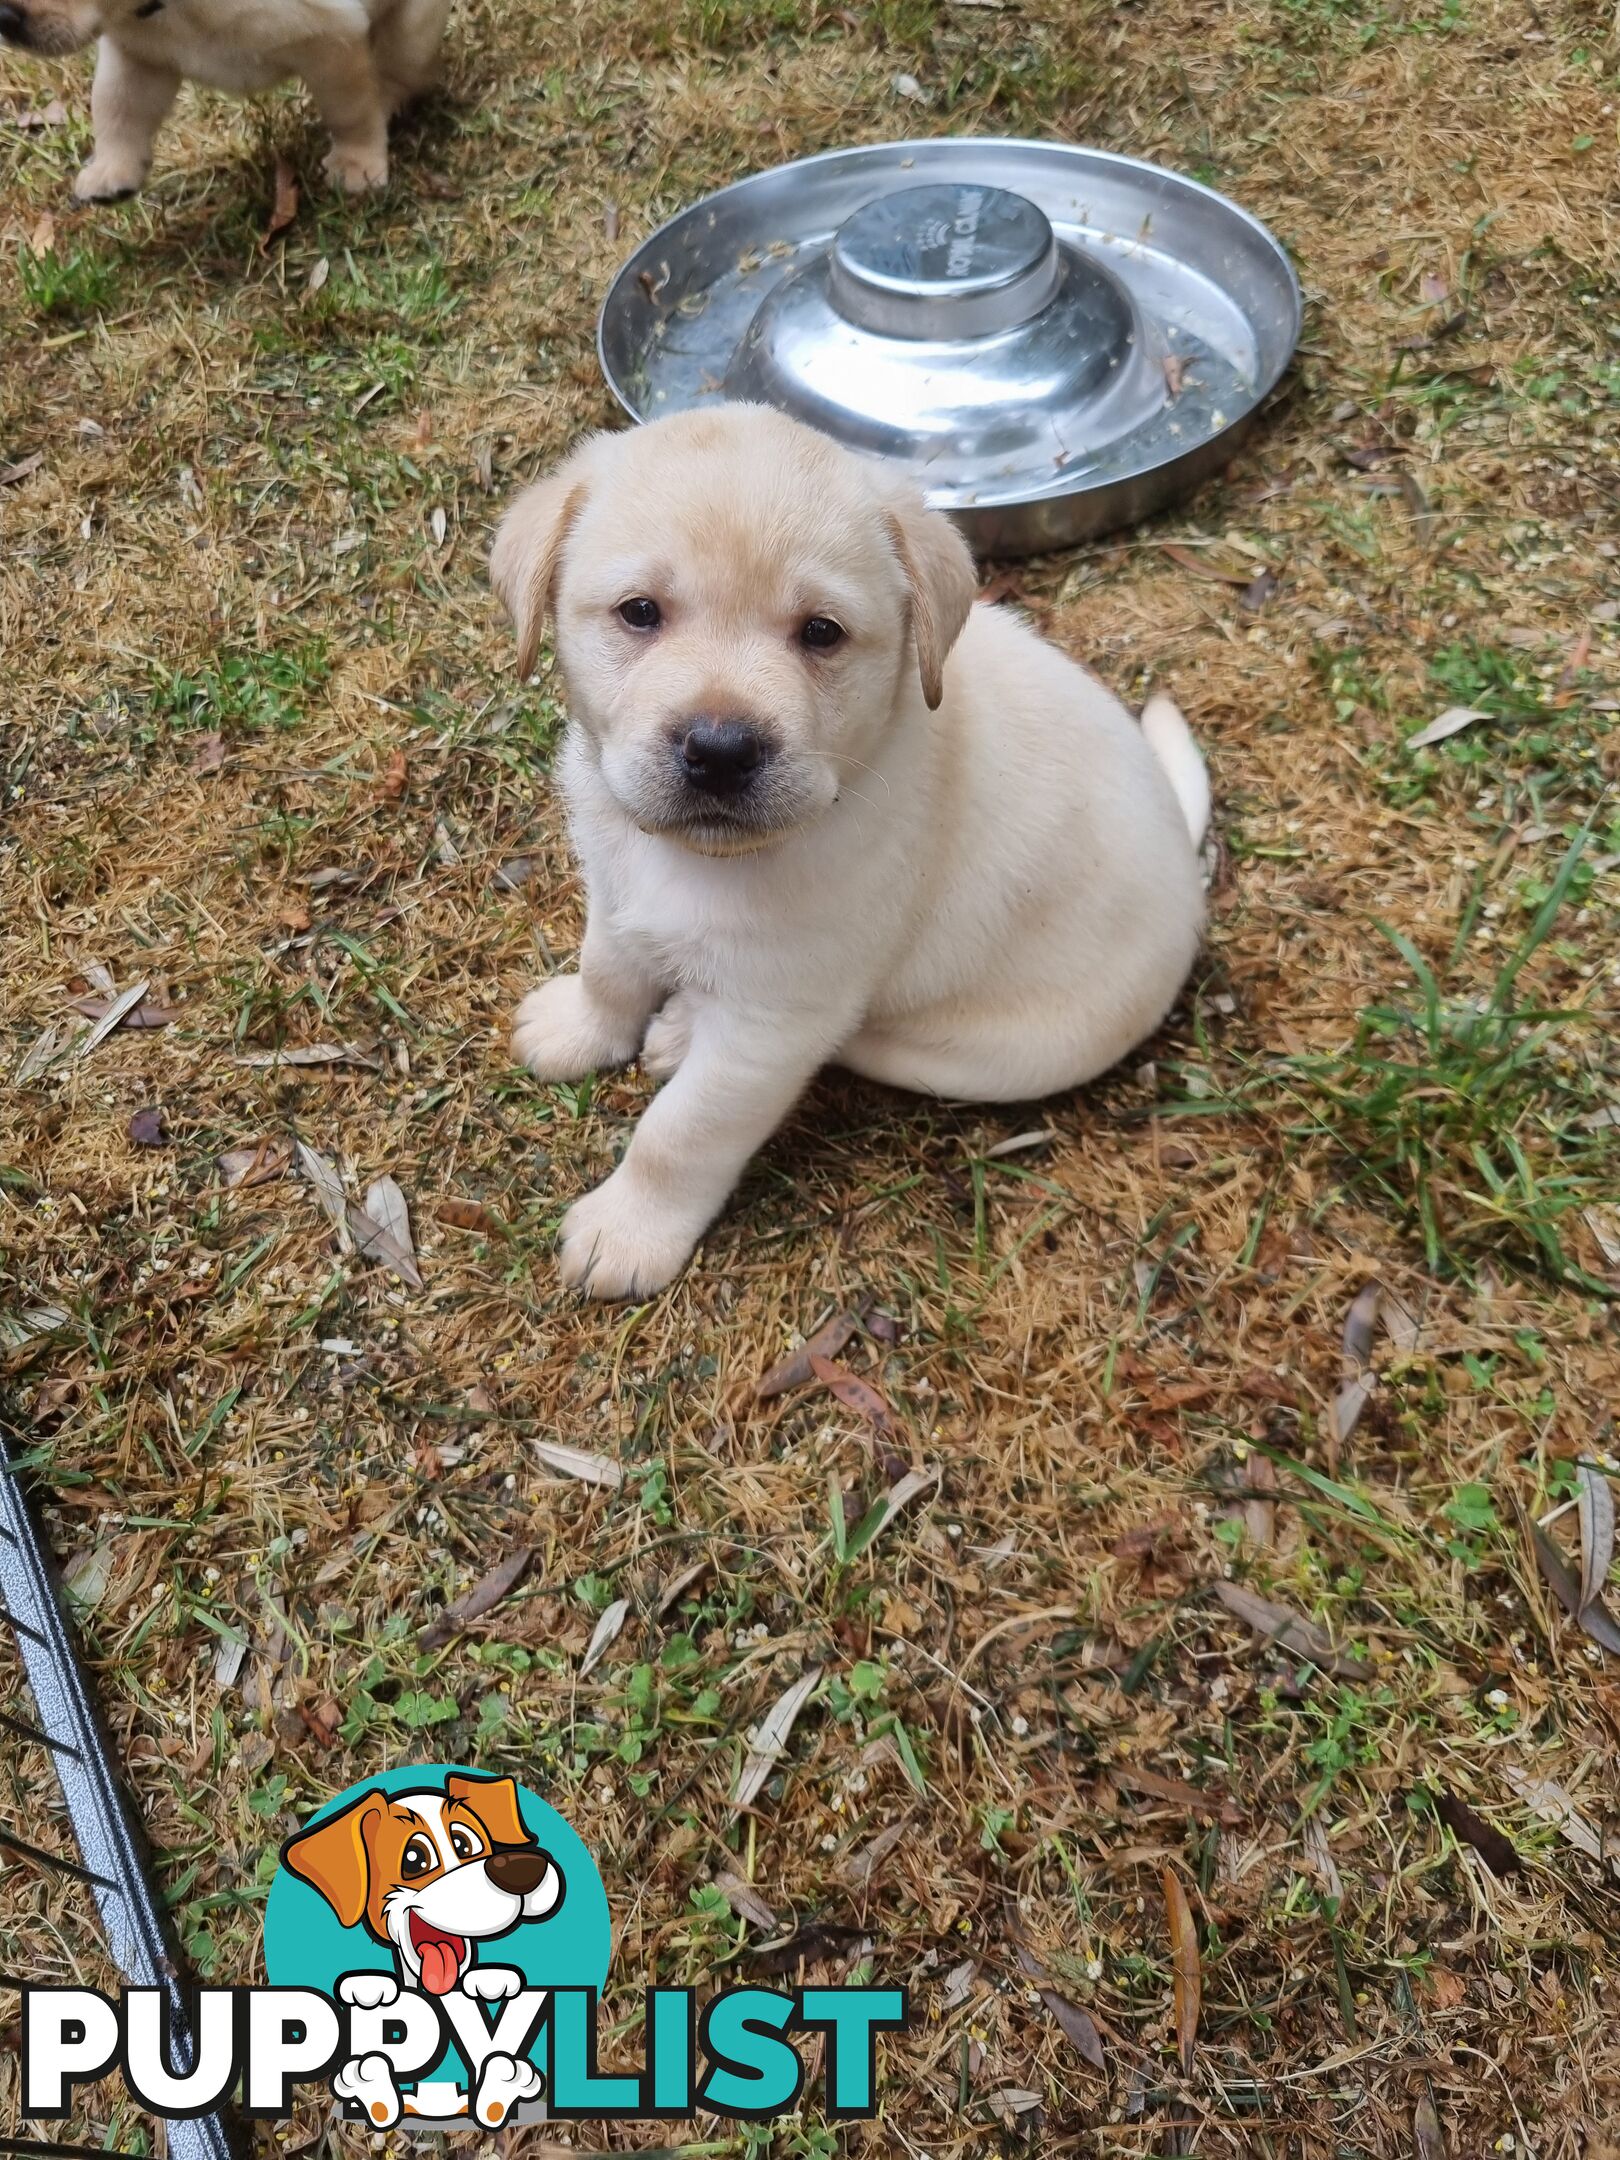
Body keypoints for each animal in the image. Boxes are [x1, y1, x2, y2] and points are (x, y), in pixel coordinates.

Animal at [0, 0, 451, 198]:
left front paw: (357, 163)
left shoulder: (330, 40)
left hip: (412, 28)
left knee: (398, 72)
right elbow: (116, 110)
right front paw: (112, 170)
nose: (4, 17)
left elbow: (351, 110)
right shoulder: (138, 53)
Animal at [488, 401, 1209, 1296]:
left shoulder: (775, 1020)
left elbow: (682, 1132)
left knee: (858, 1041)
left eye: (822, 633)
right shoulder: (617, 890)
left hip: (979, 1052)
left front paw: (628, 1231)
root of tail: (1187, 861)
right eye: (640, 613)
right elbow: (607, 970)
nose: (720, 750)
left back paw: (687, 1030)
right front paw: (579, 1029)